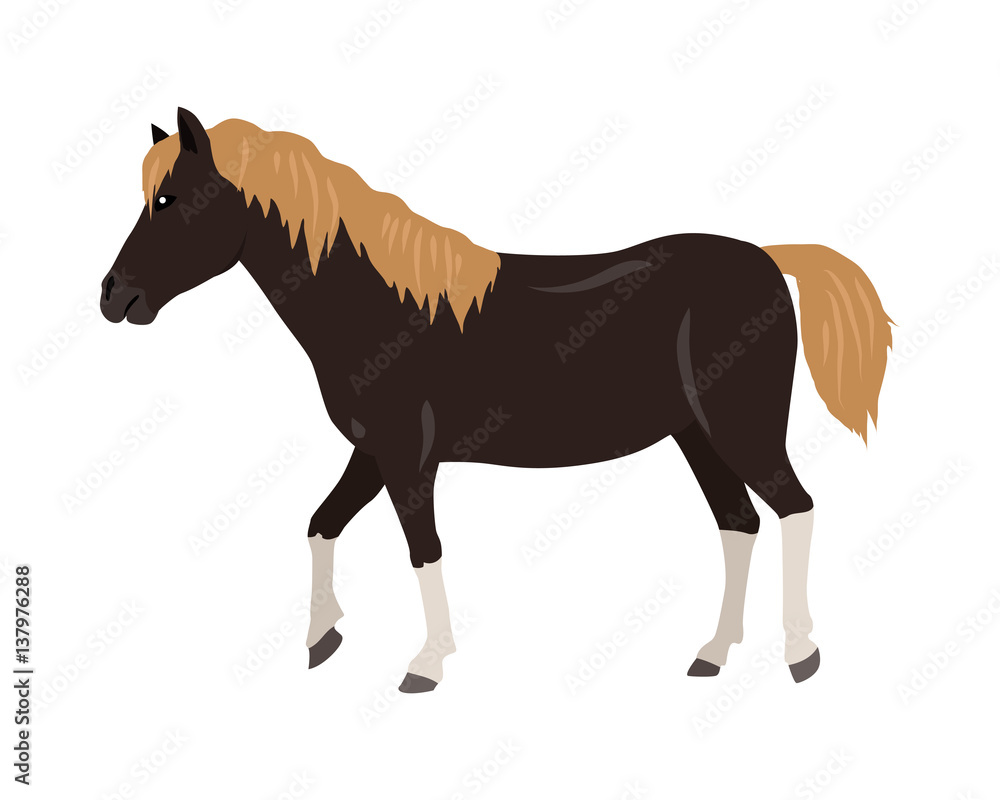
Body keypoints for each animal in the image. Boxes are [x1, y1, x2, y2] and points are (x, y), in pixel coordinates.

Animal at [100, 108, 892, 692]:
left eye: (170, 199)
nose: (113, 297)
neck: (379, 307)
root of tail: (767, 259)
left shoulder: (407, 457)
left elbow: (423, 550)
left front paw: (426, 663)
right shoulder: (371, 451)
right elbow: (322, 524)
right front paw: (323, 637)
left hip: (741, 428)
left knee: (794, 508)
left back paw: (800, 654)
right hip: (696, 436)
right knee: (739, 523)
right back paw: (713, 654)